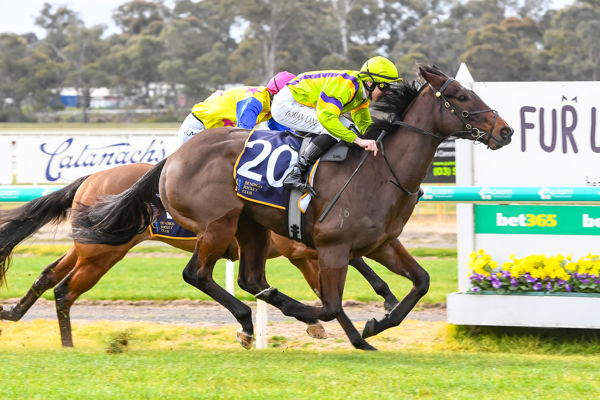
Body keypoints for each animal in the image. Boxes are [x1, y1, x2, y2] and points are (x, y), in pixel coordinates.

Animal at [72, 64, 512, 348]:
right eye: (460, 95)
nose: (505, 130)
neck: (379, 170)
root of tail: (172, 157)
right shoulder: (333, 248)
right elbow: (330, 306)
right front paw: (342, 324)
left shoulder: (383, 244)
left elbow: (420, 282)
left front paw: (377, 323)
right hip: (217, 224)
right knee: (197, 274)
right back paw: (251, 320)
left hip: (250, 226)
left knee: (251, 278)